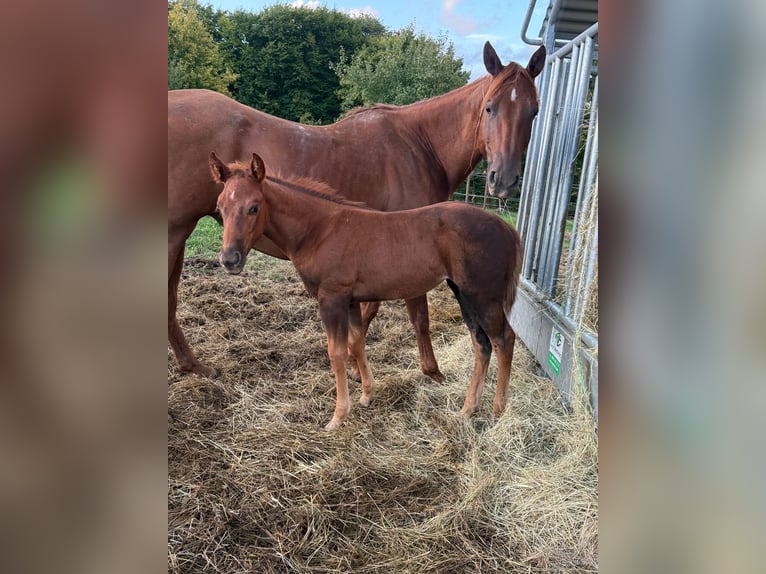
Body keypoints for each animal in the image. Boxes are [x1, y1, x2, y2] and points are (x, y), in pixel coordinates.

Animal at [169, 42, 544, 380]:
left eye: (534, 112)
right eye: (489, 108)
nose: (503, 180)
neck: (419, 145)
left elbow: (367, 310)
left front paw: (352, 361)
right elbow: (416, 315)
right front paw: (430, 370)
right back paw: (192, 364)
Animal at [210, 152, 522, 431]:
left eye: (254, 207)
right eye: (220, 207)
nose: (229, 259)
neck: (320, 230)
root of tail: (508, 230)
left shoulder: (332, 298)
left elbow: (336, 352)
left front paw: (338, 417)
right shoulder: (350, 301)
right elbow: (357, 342)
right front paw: (366, 395)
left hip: (483, 296)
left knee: (503, 339)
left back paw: (498, 411)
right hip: (463, 293)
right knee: (481, 343)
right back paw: (467, 410)